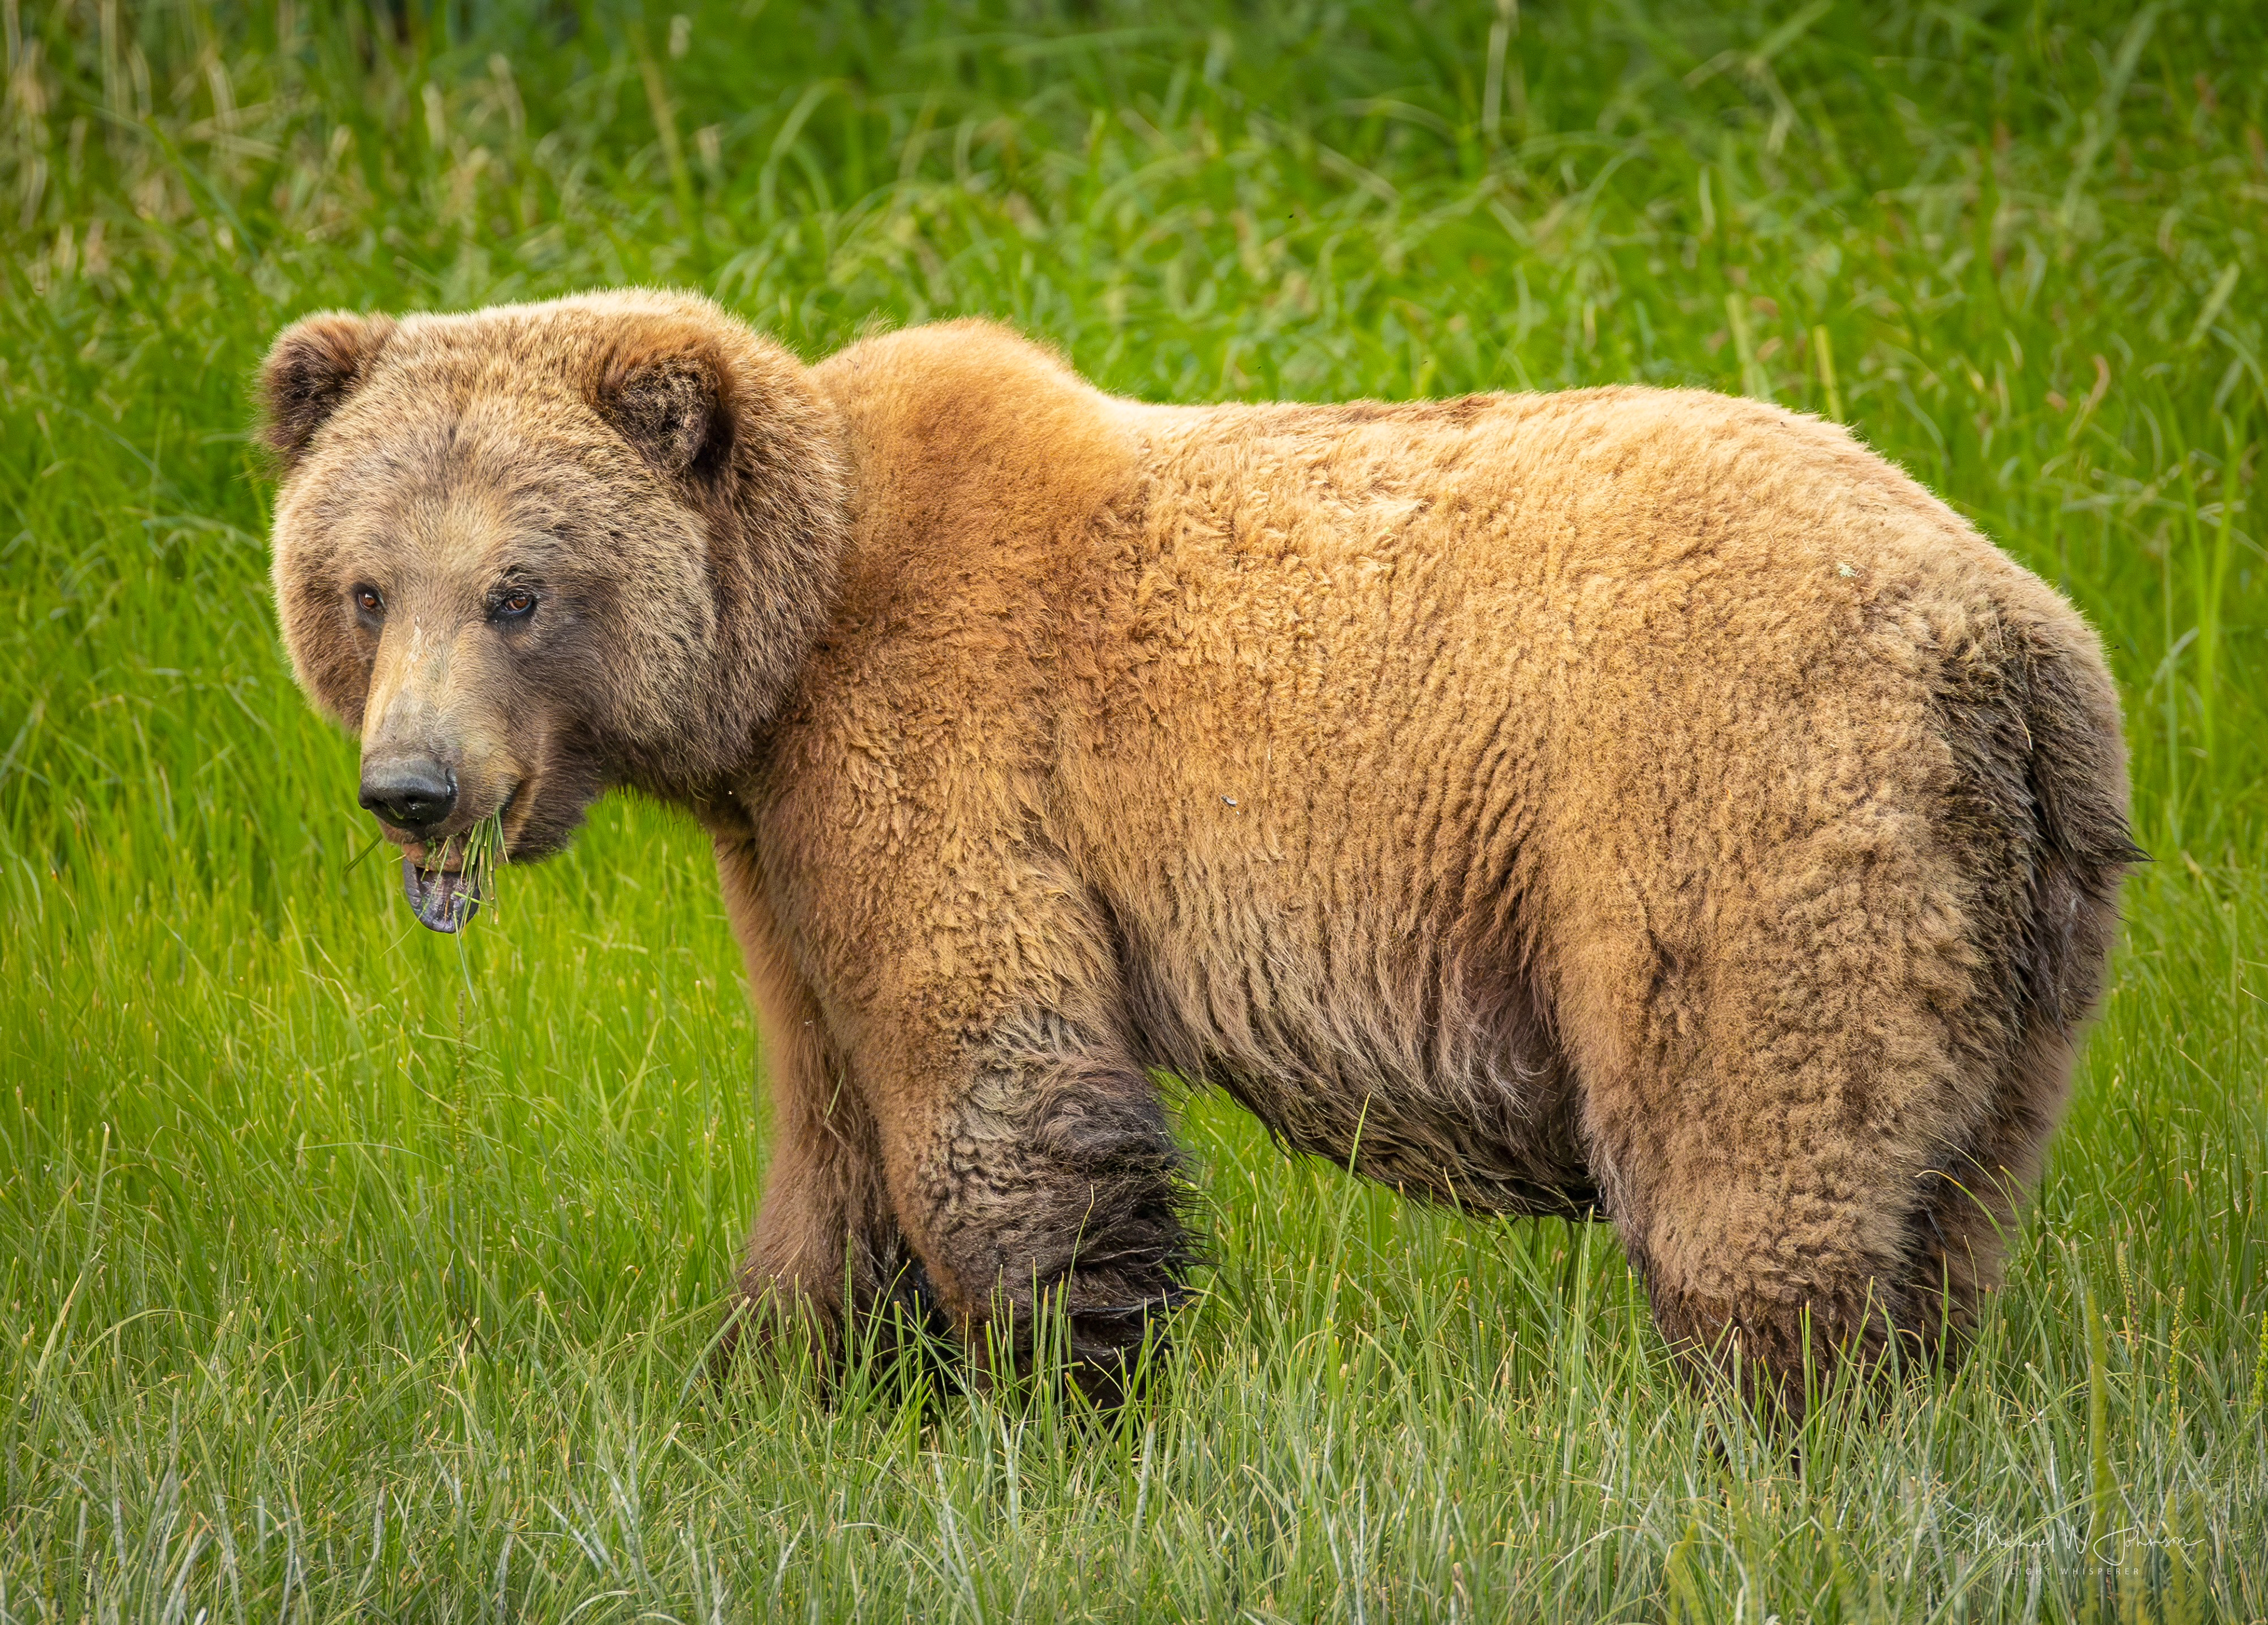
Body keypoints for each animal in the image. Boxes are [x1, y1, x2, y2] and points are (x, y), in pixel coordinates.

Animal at [261, 288, 2137, 1414]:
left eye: (516, 589)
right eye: (361, 585)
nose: (413, 788)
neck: (781, 656)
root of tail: (2007, 629)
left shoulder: (945, 744)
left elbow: (991, 1082)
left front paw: (1067, 1383)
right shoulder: (782, 848)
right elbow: (832, 1129)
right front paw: (775, 1368)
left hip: (1725, 794)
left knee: (1749, 1138)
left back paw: (1775, 1408)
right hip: (2015, 907)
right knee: (1957, 1176)